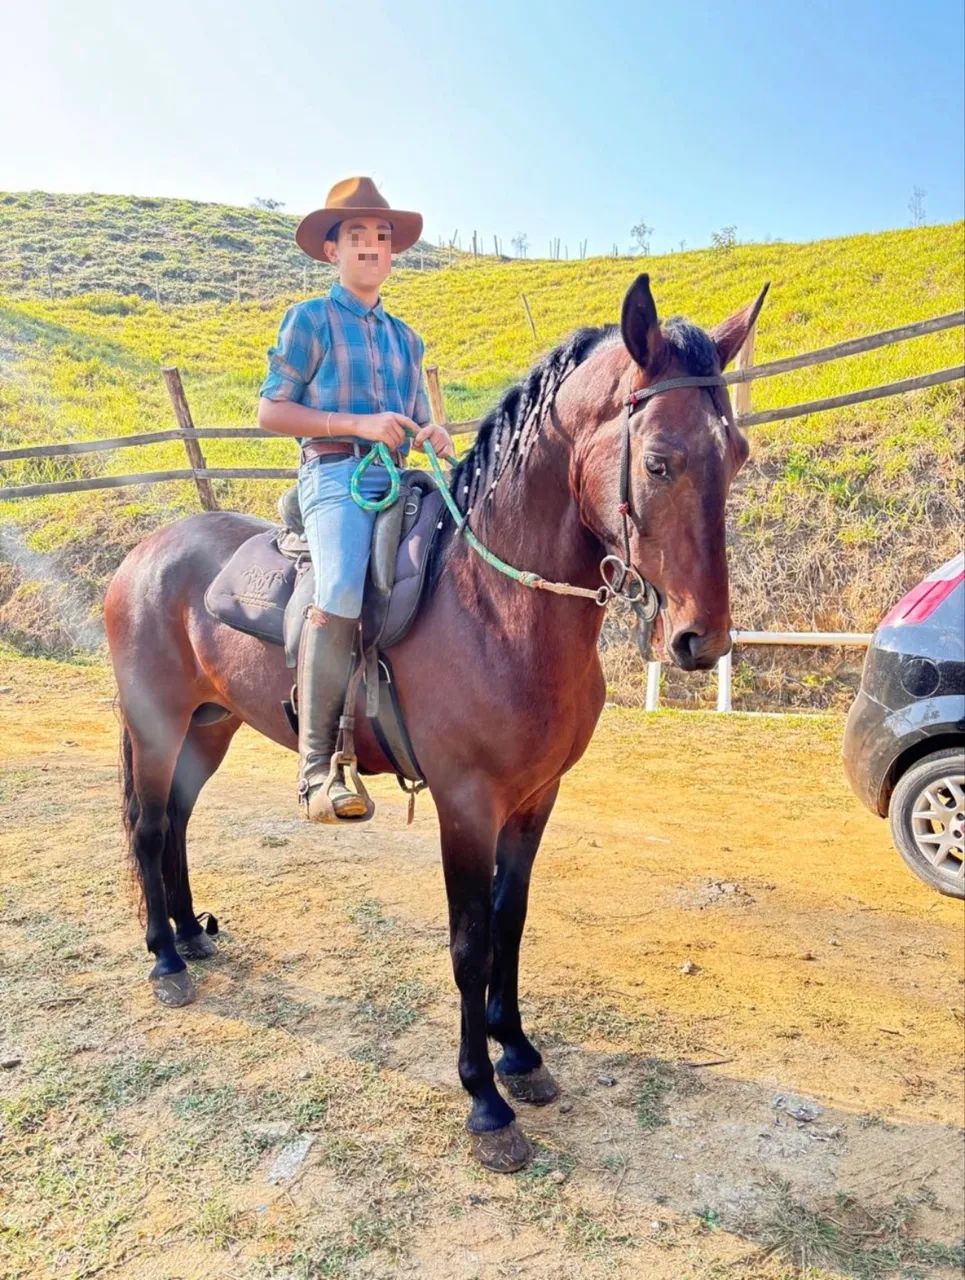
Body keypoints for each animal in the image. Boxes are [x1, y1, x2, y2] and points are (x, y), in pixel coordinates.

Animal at [105, 273, 766, 1172]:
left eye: (735, 456)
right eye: (659, 460)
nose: (703, 640)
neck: (496, 608)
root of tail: (142, 555)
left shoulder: (533, 800)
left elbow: (509, 925)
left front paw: (517, 1051)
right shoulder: (465, 806)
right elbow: (467, 941)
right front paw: (484, 1100)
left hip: (208, 727)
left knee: (174, 820)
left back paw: (190, 936)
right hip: (156, 724)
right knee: (146, 827)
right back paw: (167, 960)